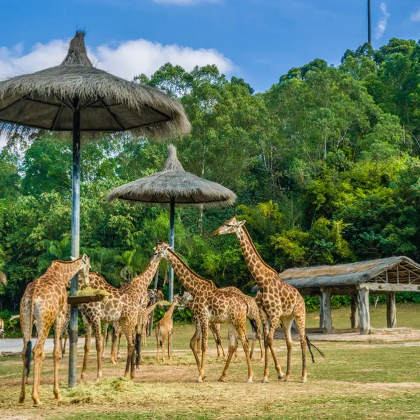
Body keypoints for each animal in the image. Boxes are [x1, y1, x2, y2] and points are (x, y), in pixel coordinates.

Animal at [18, 254, 90, 406]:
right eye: (89, 266)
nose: (87, 283)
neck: (61, 273)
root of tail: (32, 296)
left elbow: (45, 354)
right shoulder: (60, 314)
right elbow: (55, 353)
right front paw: (57, 394)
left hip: (25, 317)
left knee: (25, 351)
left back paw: (22, 397)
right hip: (46, 319)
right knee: (36, 350)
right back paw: (36, 398)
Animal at [151, 243, 253, 384]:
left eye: (156, 253)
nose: (150, 262)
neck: (195, 289)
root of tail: (245, 304)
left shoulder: (204, 317)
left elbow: (204, 345)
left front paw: (200, 376)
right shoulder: (200, 319)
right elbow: (193, 342)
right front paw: (202, 374)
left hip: (239, 321)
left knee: (245, 342)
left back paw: (249, 377)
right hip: (231, 323)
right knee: (233, 344)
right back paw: (222, 376)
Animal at [215, 217, 320, 384]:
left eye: (229, 225)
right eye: (225, 222)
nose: (216, 232)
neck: (262, 282)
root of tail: (301, 297)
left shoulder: (274, 313)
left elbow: (269, 339)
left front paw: (269, 375)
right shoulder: (264, 314)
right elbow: (266, 340)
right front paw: (269, 374)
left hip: (299, 314)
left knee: (303, 340)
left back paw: (303, 376)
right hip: (287, 318)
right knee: (289, 342)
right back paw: (288, 375)